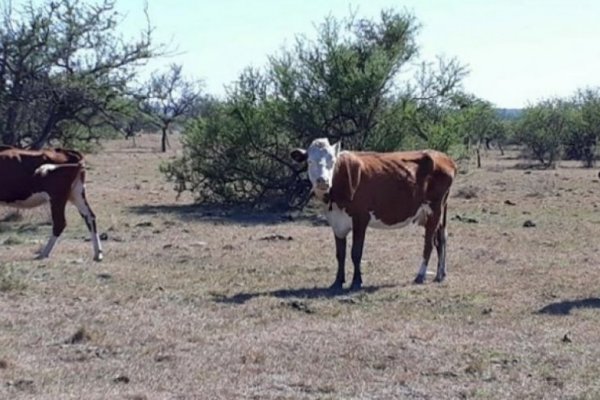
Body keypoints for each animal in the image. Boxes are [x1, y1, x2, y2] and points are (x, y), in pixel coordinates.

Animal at [290, 139, 454, 290]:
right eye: (310, 161)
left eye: (332, 161)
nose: (322, 181)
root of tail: (443, 157)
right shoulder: (336, 222)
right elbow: (340, 254)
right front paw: (337, 282)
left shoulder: (360, 219)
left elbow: (356, 252)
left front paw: (357, 282)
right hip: (436, 212)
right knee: (441, 238)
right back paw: (440, 274)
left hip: (434, 209)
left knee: (429, 243)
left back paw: (420, 275)